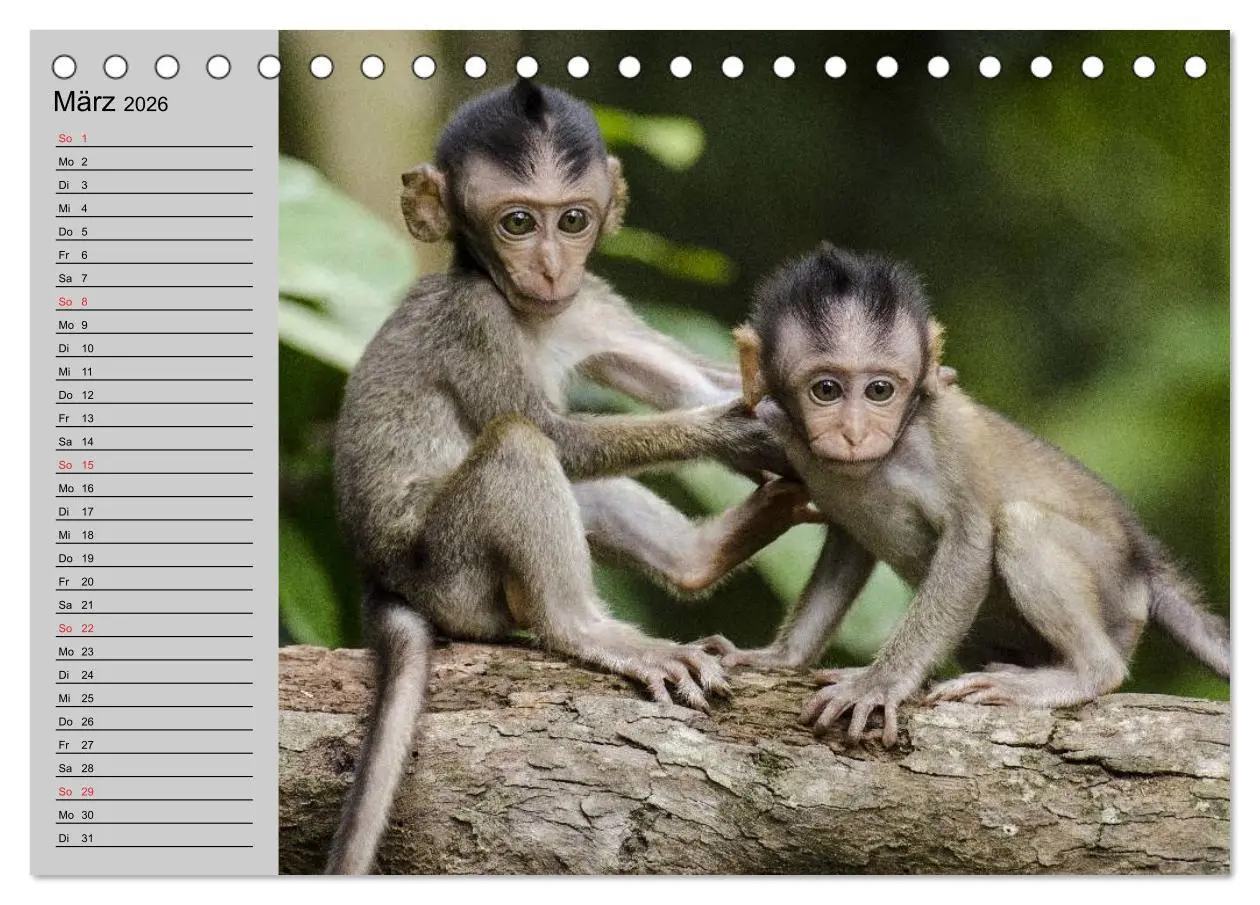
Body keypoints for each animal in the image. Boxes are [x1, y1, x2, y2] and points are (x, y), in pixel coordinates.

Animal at [325, 79, 812, 874]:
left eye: (573, 219)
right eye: (517, 222)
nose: (552, 266)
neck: (529, 313)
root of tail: (382, 580)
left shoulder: (590, 303)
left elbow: (687, 381)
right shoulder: (476, 319)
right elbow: (554, 435)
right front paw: (739, 430)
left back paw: (701, 555)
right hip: (454, 574)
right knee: (521, 446)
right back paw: (585, 628)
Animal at [699, 242, 1230, 747]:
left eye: (879, 391)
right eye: (826, 390)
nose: (855, 433)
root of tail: (1143, 561)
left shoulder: (947, 436)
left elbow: (969, 543)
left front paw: (879, 683)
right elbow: (848, 546)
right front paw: (779, 657)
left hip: (1114, 592)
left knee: (1021, 524)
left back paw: (1083, 673)